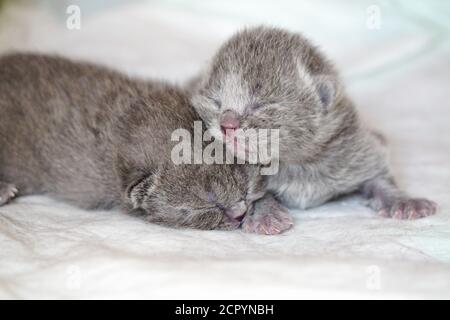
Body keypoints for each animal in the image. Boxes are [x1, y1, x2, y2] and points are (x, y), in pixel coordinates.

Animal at [189, 25, 436, 232]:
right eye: (216, 102)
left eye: (262, 104)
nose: (227, 125)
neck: (296, 164)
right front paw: (266, 214)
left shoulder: (354, 146)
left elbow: (378, 176)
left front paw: (403, 201)